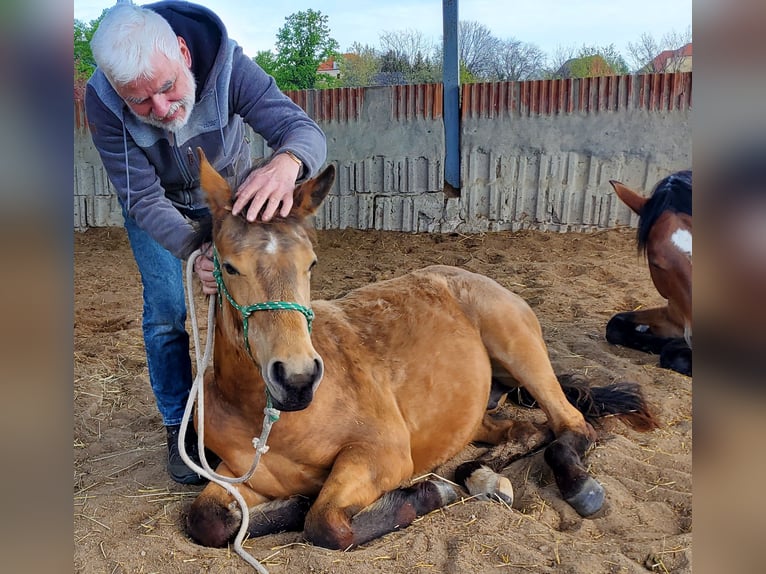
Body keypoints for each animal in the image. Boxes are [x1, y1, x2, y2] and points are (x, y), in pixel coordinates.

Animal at [185, 148, 657, 550]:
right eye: (230, 266)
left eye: (311, 263)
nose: (297, 378)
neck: (271, 418)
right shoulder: (237, 475)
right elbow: (208, 520)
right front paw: (291, 504)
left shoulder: (383, 455)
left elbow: (326, 525)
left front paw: (431, 491)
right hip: (472, 412)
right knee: (521, 430)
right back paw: (482, 477)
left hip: (523, 354)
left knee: (570, 425)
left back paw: (575, 487)